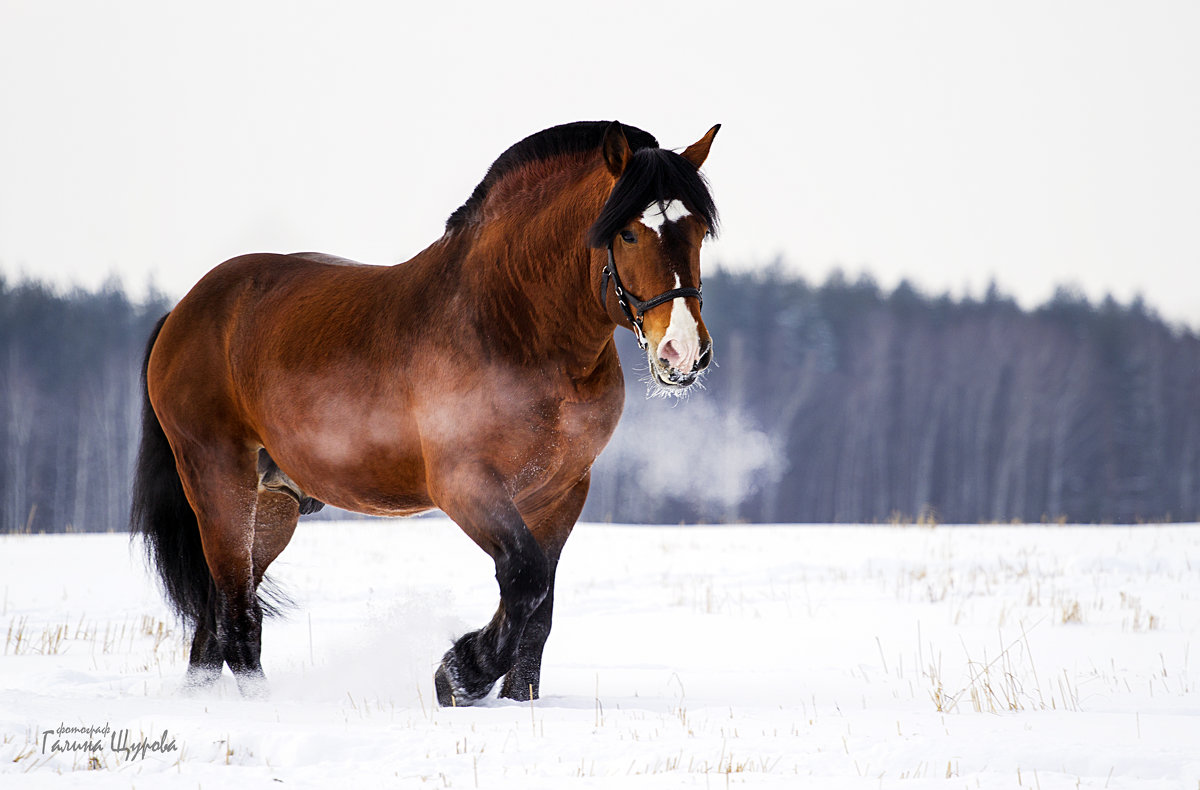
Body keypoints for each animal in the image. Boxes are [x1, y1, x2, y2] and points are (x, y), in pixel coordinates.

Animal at [133, 121, 720, 701]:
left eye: (697, 231)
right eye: (628, 233)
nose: (682, 352)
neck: (512, 323)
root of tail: (183, 311)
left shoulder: (561, 492)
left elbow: (539, 610)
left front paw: (511, 696)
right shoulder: (464, 483)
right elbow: (524, 576)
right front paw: (459, 673)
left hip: (272, 506)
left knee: (213, 626)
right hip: (219, 481)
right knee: (237, 622)